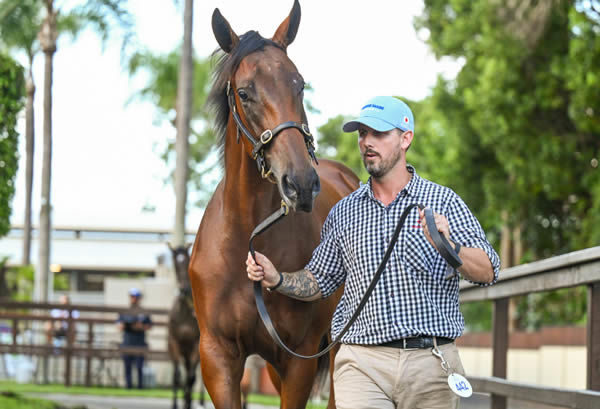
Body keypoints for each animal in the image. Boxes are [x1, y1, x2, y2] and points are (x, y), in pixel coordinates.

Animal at [189, 1, 356, 406]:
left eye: (300, 85)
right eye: (244, 92)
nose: (301, 184)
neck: (246, 240)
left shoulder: (299, 358)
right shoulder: (217, 356)